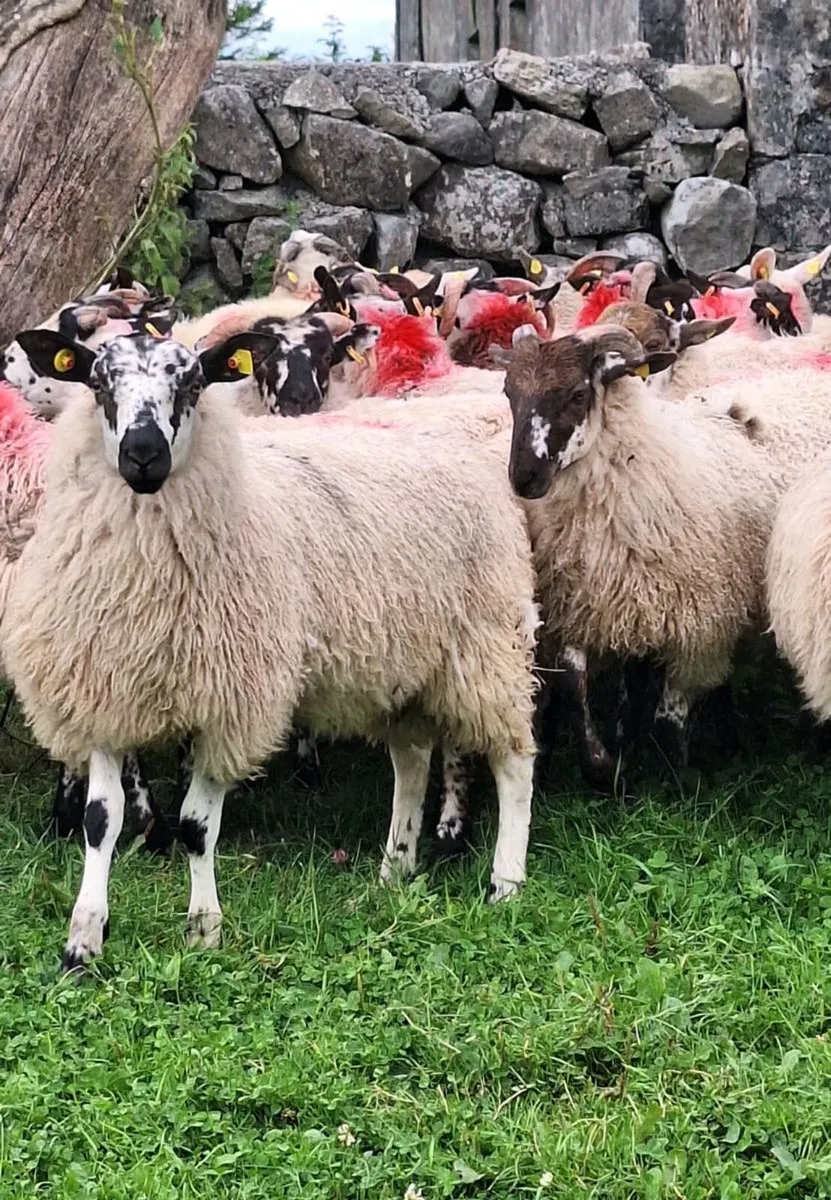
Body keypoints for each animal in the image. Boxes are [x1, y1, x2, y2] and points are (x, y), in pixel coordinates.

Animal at [6, 328, 539, 969]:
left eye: (192, 383)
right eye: (99, 382)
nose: (143, 454)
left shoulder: (231, 703)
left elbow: (196, 825)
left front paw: (204, 929)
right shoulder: (105, 693)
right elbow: (99, 821)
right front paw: (83, 941)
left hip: (489, 644)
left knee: (515, 762)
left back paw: (506, 882)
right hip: (404, 664)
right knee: (411, 762)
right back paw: (394, 869)